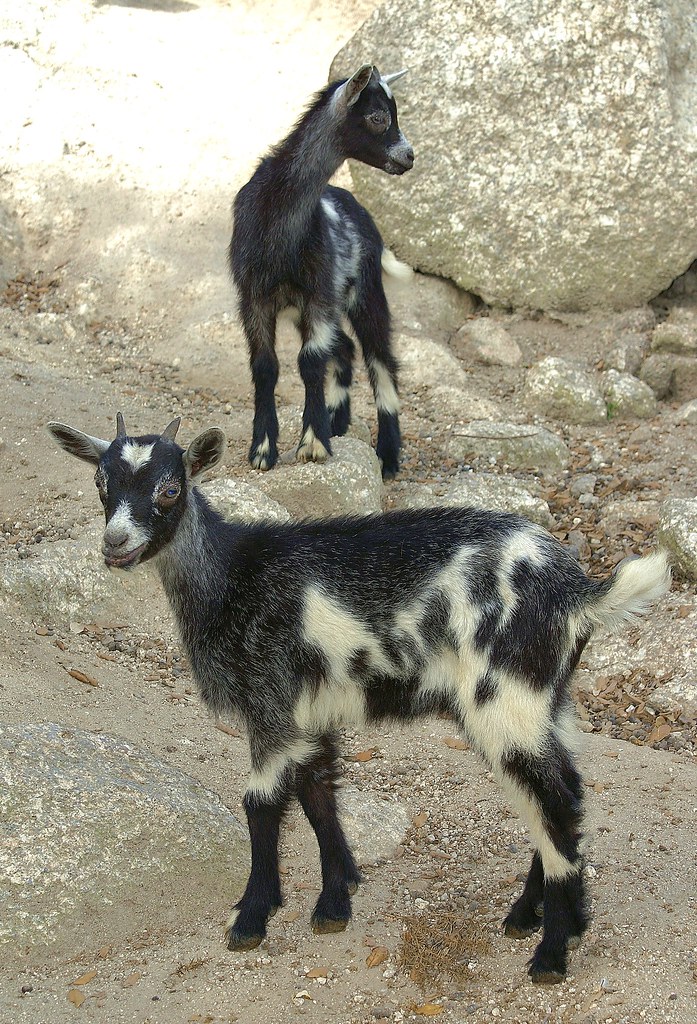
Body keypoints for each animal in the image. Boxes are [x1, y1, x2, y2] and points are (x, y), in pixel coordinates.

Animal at [47, 414, 671, 984]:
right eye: (100, 482)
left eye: (170, 489)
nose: (115, 544)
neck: (229, 576)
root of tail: (580, 594)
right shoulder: (308, 711)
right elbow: (318, 792)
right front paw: (335, 900)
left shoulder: (268, 702)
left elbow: (261, 803)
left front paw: (250, 919)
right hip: (546, 700)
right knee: (556, 795)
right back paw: (533, 917)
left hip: (505, 699)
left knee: (555, 803)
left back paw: (551, 954)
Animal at [229, 64, 414, 481]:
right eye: (378, 117)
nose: (410, 156)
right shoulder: (254, 298)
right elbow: (265, 366)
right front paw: (263, 449)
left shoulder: (316, 294)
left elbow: (310, 362)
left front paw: (313, 444)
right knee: (344, 349)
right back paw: (338, 420)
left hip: (364, 292)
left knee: (380, 360)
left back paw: (388, 454)